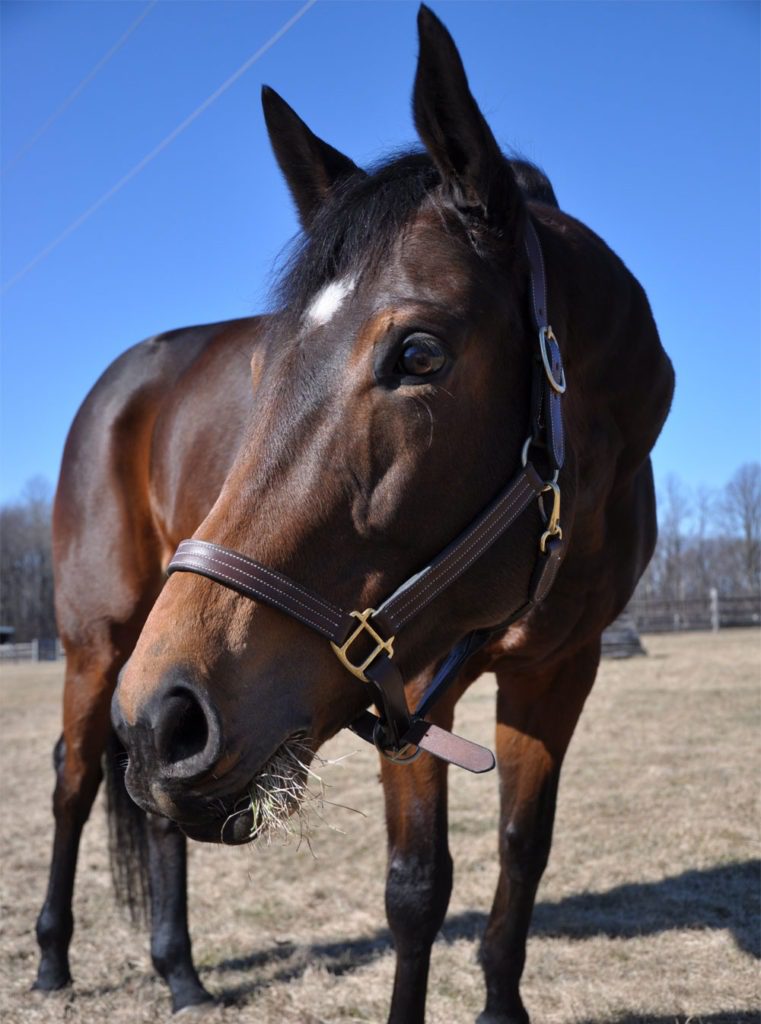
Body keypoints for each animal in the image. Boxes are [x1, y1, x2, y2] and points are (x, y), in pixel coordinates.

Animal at [34, 6, 674, 1022]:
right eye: (264, 366)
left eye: (417, 353)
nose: (174, 712)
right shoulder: (406, 682)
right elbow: (416, 888)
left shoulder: (557, 673)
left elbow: (521, 851)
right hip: (103, 648)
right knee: (75, 775)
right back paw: (55, 958)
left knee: (146, 799)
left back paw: (181, 973)